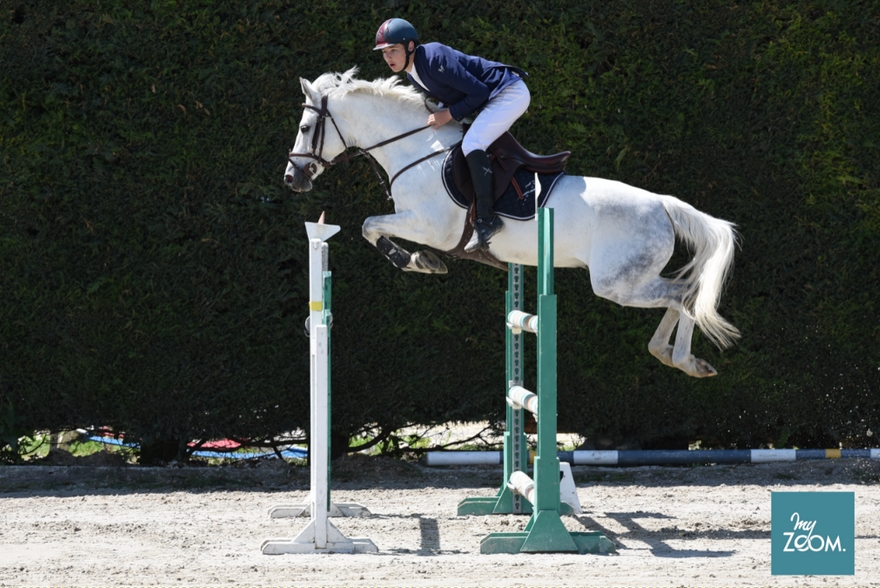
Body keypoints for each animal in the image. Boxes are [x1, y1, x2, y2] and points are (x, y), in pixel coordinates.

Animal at [286, 69, 740, 376]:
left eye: (306, 127)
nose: (293, 178)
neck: (416, 149)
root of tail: (663, 204)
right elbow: (369, 226)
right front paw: (421, 261)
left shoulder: (428, 226)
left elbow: (369, 225)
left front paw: (418, 262)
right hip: (631, 279)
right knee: (683, 293)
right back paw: (669, 354)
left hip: (618, 283)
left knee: (682, 296)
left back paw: (683, 360)